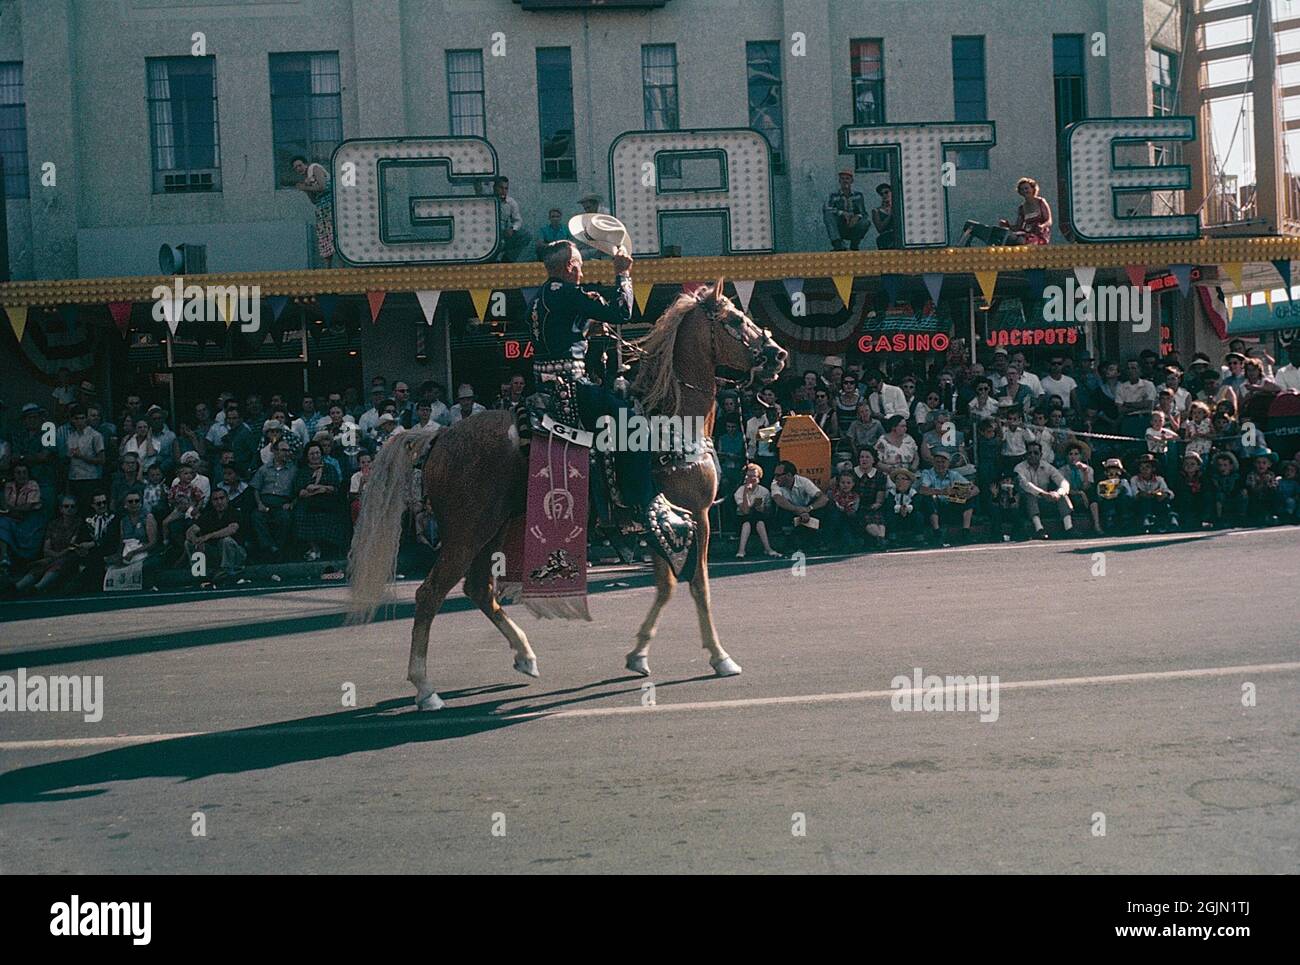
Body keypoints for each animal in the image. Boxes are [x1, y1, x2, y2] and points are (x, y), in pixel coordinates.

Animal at [345, 279, 785, 712]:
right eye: (734, 319)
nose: (777, 355)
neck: (672, 421)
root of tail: (439, 436)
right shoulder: (697, 515)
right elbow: (698, 586)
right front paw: (720, 657)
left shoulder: (660, 521)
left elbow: (666, 587)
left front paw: (638, 655)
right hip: (466, 533)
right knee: (429, 594)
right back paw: (425, 688)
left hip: (493, 530)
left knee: (477, 590)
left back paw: (525, 656)